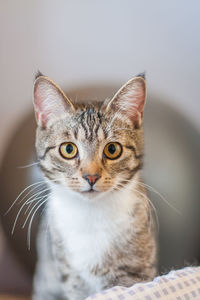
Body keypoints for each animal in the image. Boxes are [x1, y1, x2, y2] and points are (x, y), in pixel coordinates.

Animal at [32, 73, 158, 300]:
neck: (90, 214)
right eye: (68, 149)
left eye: (112, 149)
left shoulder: (133, 275)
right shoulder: (71, 278)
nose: (91, 176)